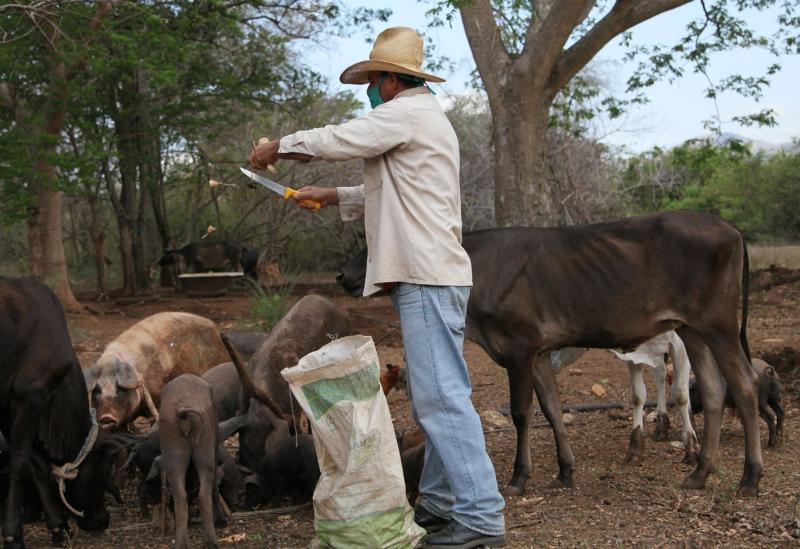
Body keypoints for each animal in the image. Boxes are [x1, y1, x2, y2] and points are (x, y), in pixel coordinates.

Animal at [0, 276, 134, 544]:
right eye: (106, 467)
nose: (102, 521)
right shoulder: (29, 396)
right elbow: (20, 463)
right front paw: (12, 535)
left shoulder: (4, 407)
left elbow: (37, 463)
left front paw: (58, 527)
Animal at [340, 212, 764, 494]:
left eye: (377, 244)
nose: (342, 276)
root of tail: (726, 227)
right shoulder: (541, 352)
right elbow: (553, 408)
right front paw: (565, 470)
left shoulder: (519, 346)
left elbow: (521, 413)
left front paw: (518, 477)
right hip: (693, 329)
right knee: (713, 390)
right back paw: (699, 473)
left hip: (719, 324)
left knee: (744, 386)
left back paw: (750, 477)